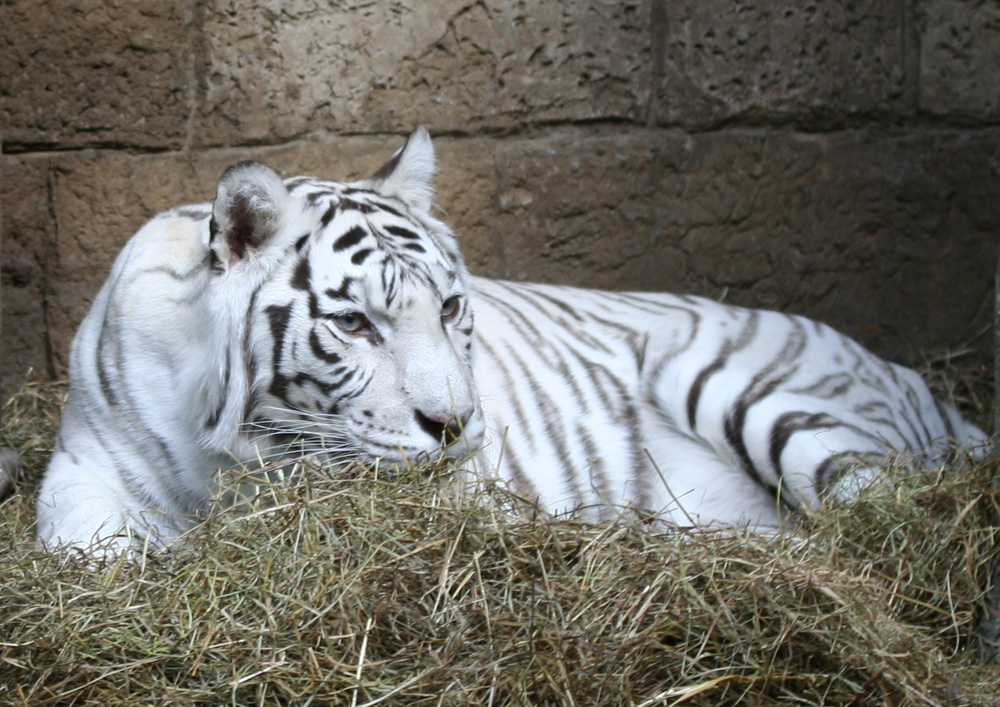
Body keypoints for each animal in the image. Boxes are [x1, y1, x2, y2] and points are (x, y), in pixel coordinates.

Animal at [35, 127, 988, 556]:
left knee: (872, 517)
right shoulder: (84, 468)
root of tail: (914, 375)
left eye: (453, 308)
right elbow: (92, 554)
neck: (231, 453)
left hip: (743, 382)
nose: (456, 425)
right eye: (354, 323)